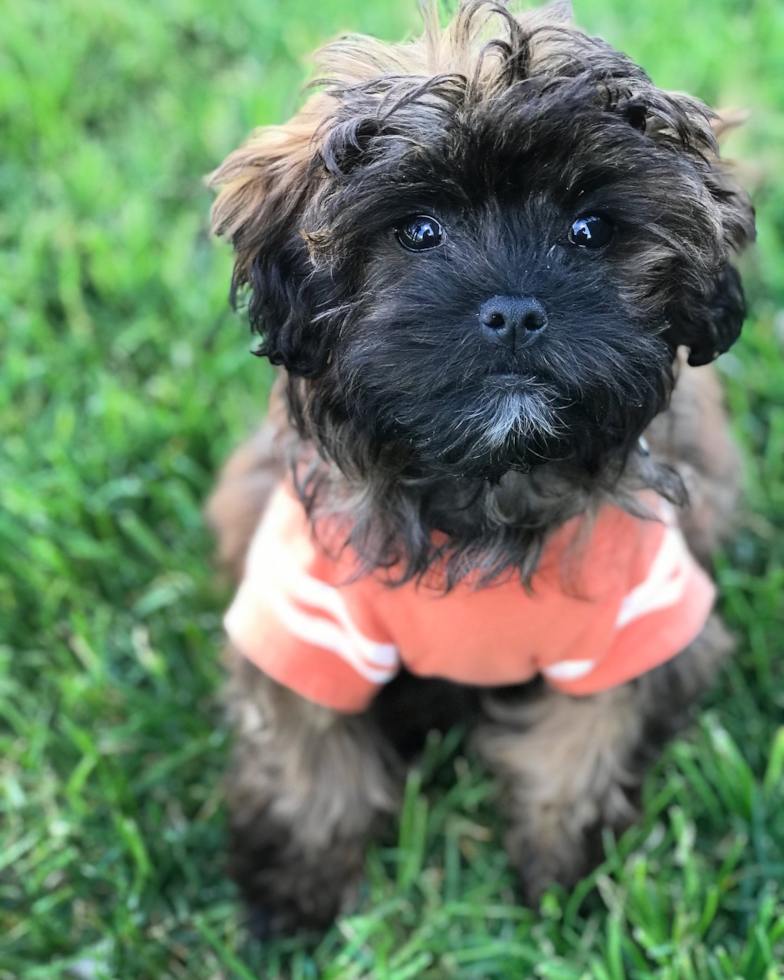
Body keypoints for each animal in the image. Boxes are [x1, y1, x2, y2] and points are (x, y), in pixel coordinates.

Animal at [205, 0, 756, 936]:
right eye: (419, 230)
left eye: (590, 230)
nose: (516, 310)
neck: (488, 478)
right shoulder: (306, 614)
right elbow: (308, 747)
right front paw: (294, 888)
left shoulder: (635, 619)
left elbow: (583, 741)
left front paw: (560, 877)